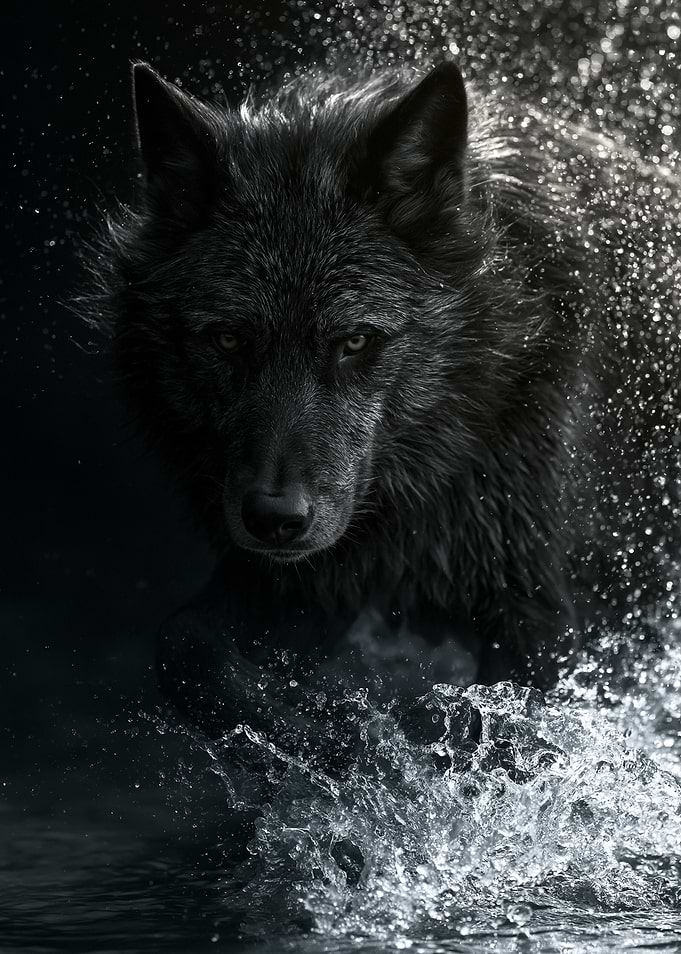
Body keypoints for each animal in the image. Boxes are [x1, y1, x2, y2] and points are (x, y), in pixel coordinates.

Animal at [84, 60, 681, 746]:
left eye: (355, 341)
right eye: (229, 339)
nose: (273, 518)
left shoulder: (538, 613)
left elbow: (504, 733)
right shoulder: (304, 582)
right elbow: (182, 646)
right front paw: (326, 738)